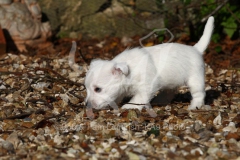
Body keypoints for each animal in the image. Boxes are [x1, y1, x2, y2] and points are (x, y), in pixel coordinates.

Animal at [85, 16, 215, 111]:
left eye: (98, 89)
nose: (87, 105)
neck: (130, 70)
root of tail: (196, 49)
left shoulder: (146, 86)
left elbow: (139, 98)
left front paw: (129, 106)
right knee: (169, 92)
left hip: (195, 80)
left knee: (199, 94)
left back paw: (194, 106)